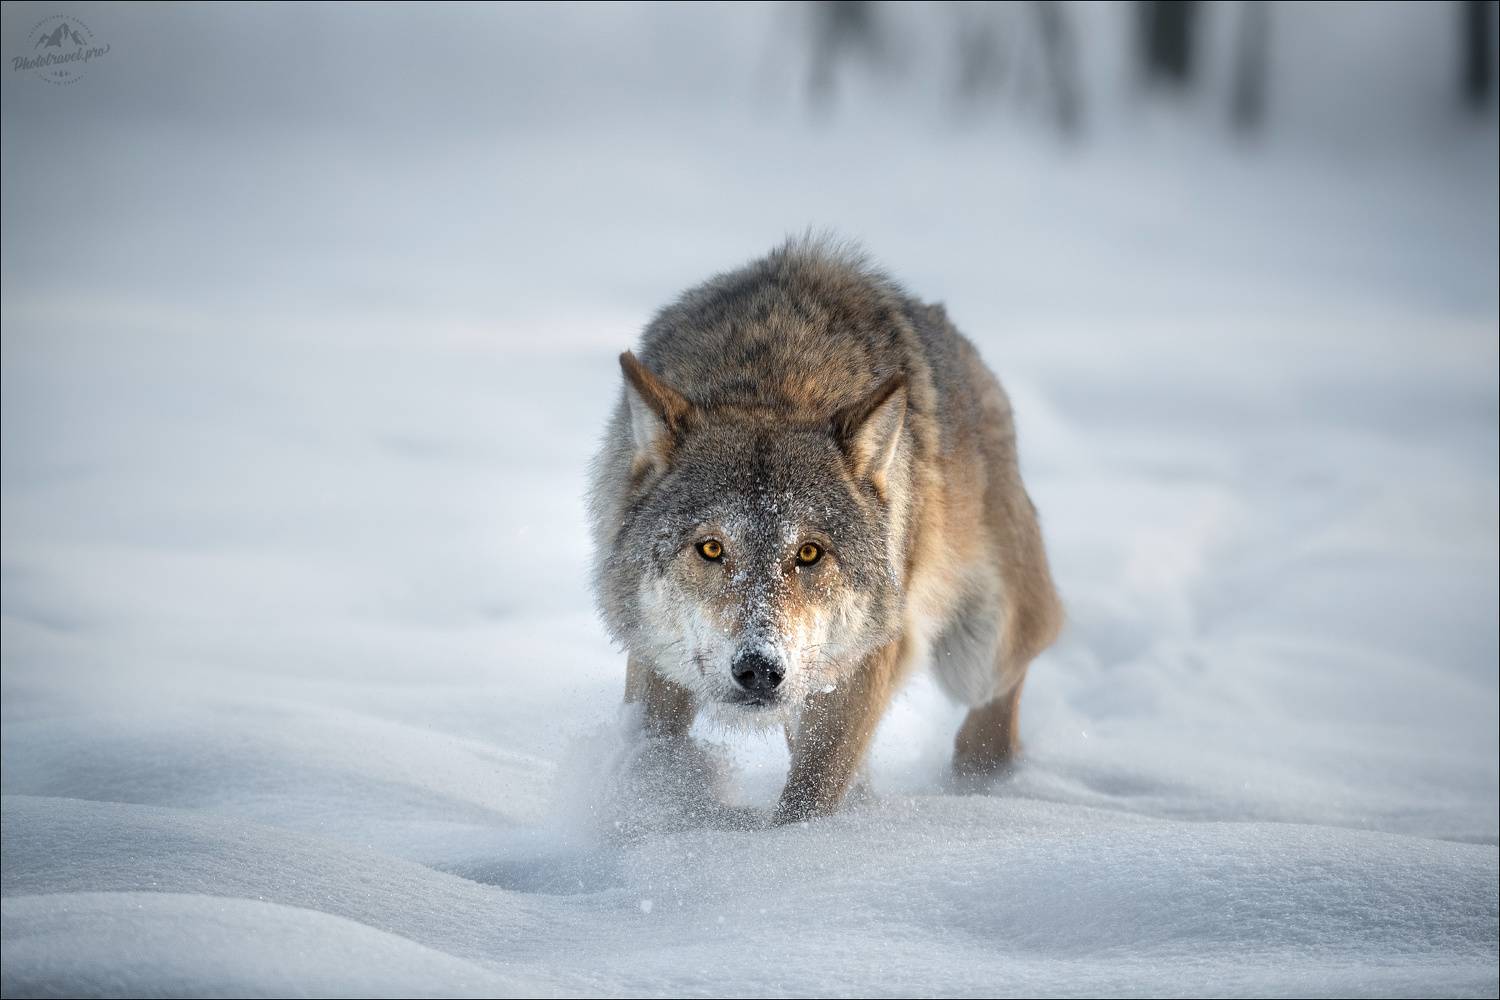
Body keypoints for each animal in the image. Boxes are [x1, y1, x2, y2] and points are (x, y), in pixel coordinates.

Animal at [588, 238, 1063, 823]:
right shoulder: (657, 654)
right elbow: (655, 751)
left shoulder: (863, 662)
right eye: (712, 548)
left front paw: (800, 845)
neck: (774, 382)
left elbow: (809, 798)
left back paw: (980, 782)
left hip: (979, 653)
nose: (759, 670)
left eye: (810, 553)